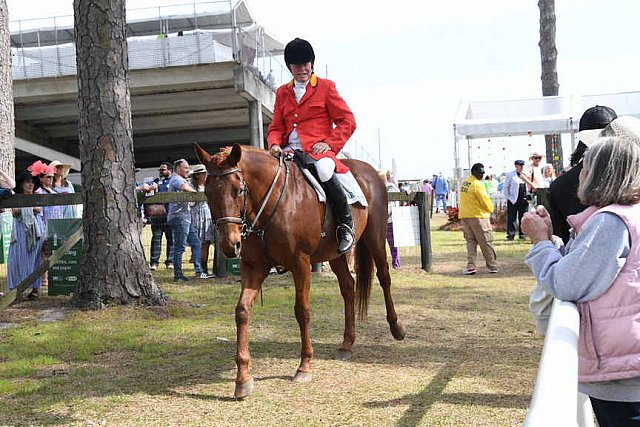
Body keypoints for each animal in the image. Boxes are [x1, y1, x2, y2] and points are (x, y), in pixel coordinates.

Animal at [195, 144, 404, 398]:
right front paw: (243, 378)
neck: (272, 201)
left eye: (238, 190)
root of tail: (370, 171)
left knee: (384, 278)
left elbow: (302, 311)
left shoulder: (300, 263)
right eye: (207, 193)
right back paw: (347, 343)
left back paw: (396, 328)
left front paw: (304, 366)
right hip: (335, 254)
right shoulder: (254, 267)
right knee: (348, 287)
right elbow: (242, 311)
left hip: (375, 237)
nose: (229, 245)